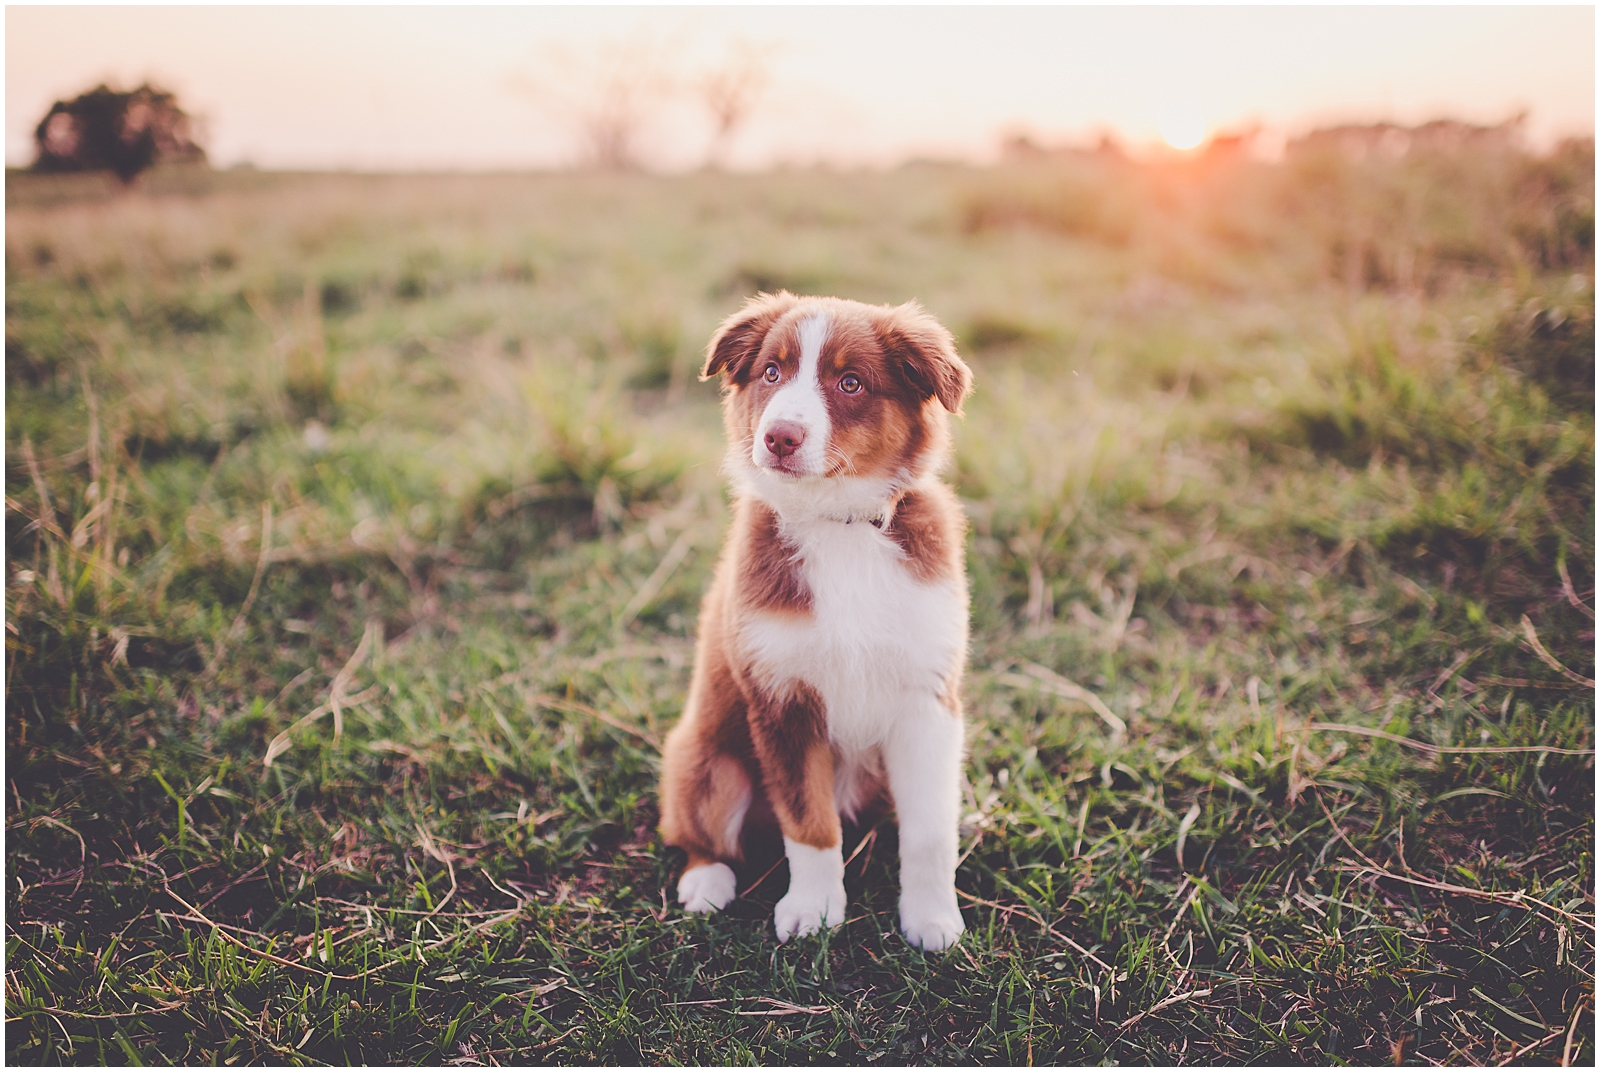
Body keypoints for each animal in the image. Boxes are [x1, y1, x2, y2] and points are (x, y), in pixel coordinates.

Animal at [652, 291, 972, 947]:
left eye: (850, 382)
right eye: (772, 373)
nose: (779, 437)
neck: (838, 523)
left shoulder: (928, 700)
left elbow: (930, 831)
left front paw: (932, 918)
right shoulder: (782, 699)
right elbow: (809, 822)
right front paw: (814, 910)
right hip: (705, 762)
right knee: (699, 834)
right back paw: (706, 882)